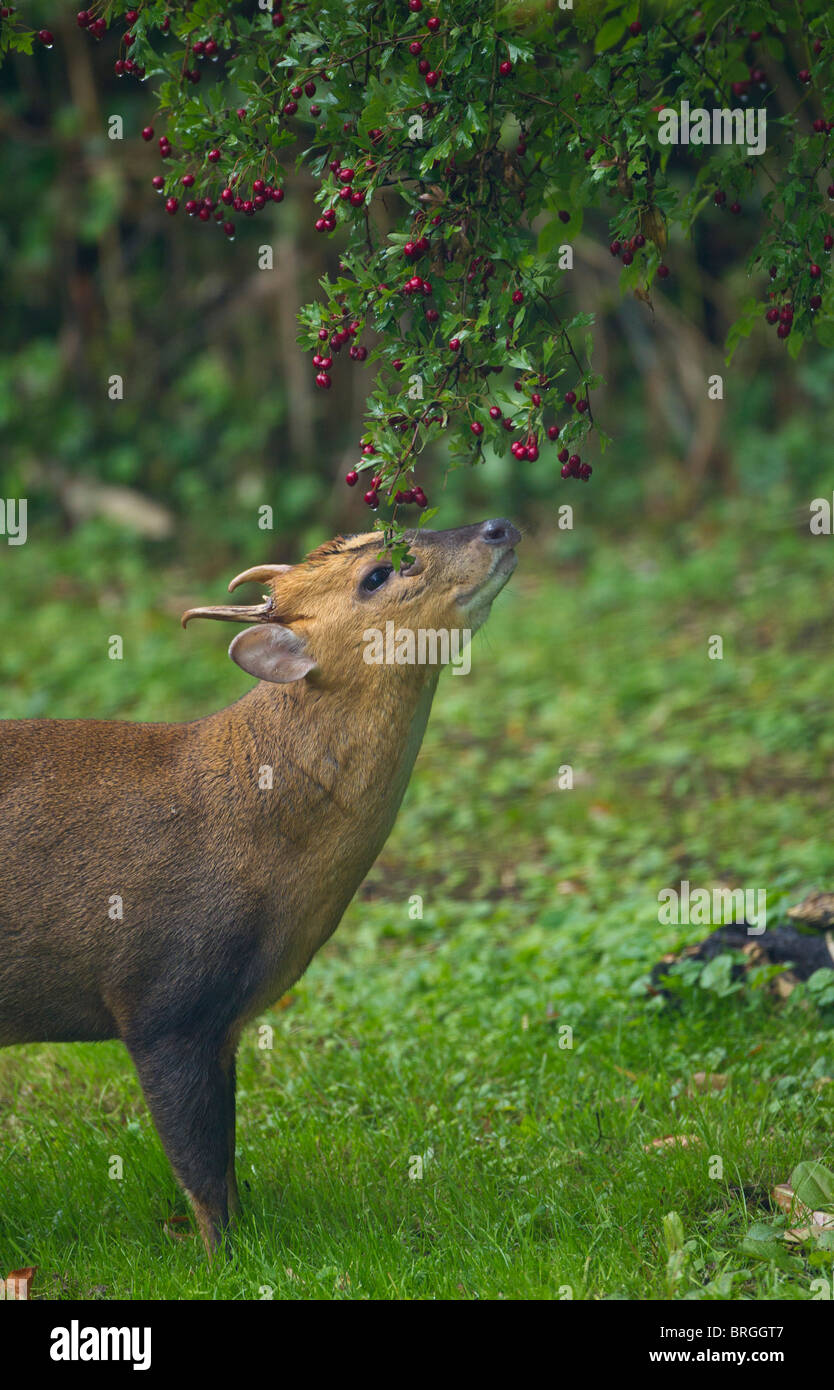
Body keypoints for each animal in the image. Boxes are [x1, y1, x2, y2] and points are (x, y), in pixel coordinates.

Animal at [0, 518, 519, 1254]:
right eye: (378, 574)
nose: (498, 527)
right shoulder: (161, 1003)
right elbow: (201, 1166)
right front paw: (225, 1258)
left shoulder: (222, 1025)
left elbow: (226, 1158)